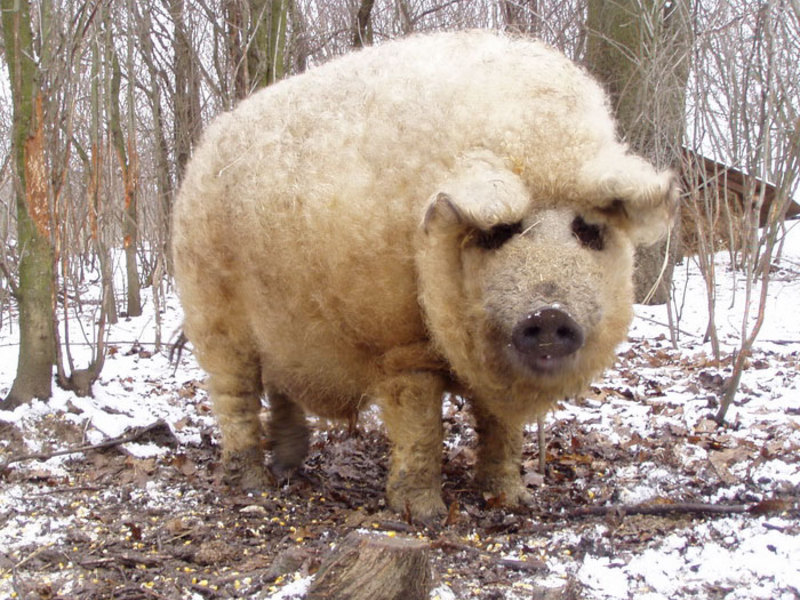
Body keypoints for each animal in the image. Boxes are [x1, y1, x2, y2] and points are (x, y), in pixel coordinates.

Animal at [171, 30, 676, 521]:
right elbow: (421, 426)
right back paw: (251, 485)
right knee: (234, 396)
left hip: (279, 328)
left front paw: (511, 500)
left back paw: (290, 468)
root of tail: (203, 149)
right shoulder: (400, 343)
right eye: (498, 233)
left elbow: (502, 428)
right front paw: (425, 515)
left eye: (588, 231)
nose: (549, 312)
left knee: (279, 390)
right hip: (213, 314)